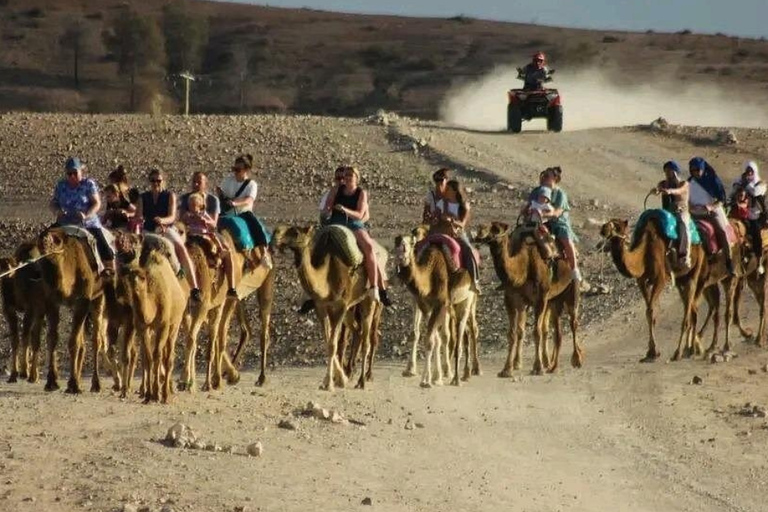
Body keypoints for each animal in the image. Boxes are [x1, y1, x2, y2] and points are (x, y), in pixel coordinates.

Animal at [271, 224, 381, 391]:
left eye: (295, 232)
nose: (275, 233)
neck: (327, 280)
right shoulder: (321, 307)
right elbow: (328, 342)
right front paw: (336, 379)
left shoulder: (340, 306)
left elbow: (333, 344)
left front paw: (330, 383)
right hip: (350, 310)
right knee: (358, 331)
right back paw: (351, 373)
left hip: (368, 301)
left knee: (367, 340)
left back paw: (362, 380)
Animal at [474, 222, 583, 375]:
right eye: (481, 227)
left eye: (496, 229)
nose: (479, 233)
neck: (523, 267)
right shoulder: (511, 299)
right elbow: (513, 333)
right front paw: (506, 369)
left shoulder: (541, 298)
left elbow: (536, 332)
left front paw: (537, 367)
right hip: (555, 299)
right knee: (558, 331)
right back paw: (553, 366)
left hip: (571, 289)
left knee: (573, 322)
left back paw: (576, 360)